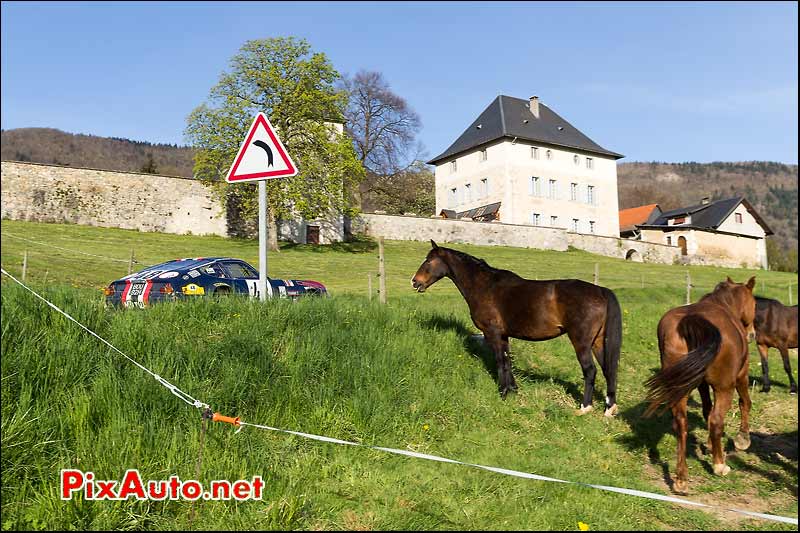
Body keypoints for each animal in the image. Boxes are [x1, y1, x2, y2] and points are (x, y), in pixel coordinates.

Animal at [410, 241, 620, 416]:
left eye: (429, 260)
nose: (414, 281)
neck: (485, 286)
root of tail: (600, 290)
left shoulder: (493, 334)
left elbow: (500, 361)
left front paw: (503, 393)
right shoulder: (503, 336)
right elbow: (507, 361)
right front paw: (513, 390)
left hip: (581, 342)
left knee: (590, 370)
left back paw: (585, 407)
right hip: (598, 342)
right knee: (608, 370)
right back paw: (609, 408)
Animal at [644, 276, 756, 492]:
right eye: (755, 303)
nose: (752, 334)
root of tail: (692, 321)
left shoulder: (701, 383)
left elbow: (706, 409)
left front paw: (711, 445)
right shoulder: (741, 376)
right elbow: (744, 403)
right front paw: (742, 439)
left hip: (680, 388)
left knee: (681, 423)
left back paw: (681, 479)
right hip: (725, 388)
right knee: (717, 420)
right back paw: (719, 465)